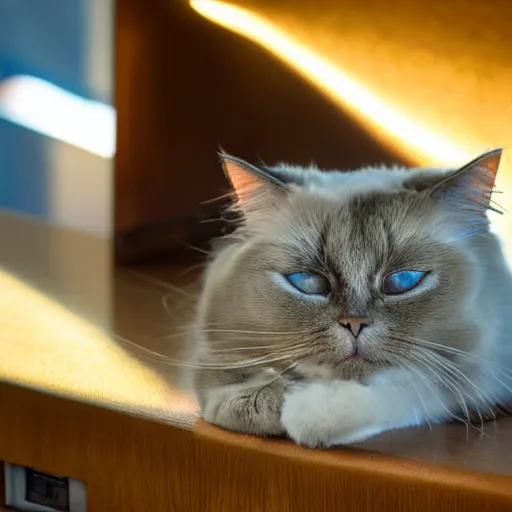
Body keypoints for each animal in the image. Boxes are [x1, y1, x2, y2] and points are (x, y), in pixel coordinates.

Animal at [188, 146, 512, 446]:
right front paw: (256, 401)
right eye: (308, 283)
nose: (354, 324)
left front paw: (309, 415)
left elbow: (408, 387)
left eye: (403, 281)